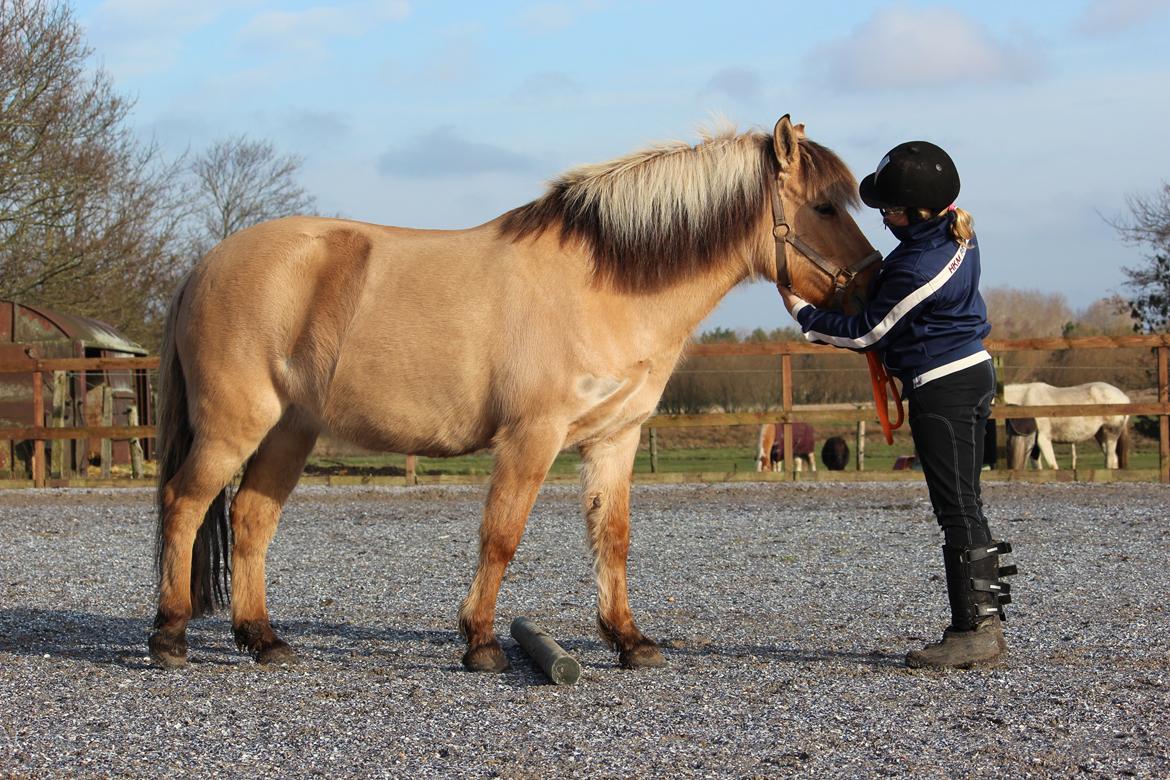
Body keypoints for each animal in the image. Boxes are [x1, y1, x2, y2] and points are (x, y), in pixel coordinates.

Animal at [148, 115, 879, 673]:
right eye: (823, 206)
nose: (873, 282)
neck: (602, 285)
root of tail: (202, 267)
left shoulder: (615, 438)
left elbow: (612, 537)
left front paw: (629, 640)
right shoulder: (533, 435)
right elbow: (502, 536)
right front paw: (480, 643)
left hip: (289, 429)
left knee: (251, 518)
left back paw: (263, 639)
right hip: (236, 425)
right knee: (185, 504)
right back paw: (170, 636)